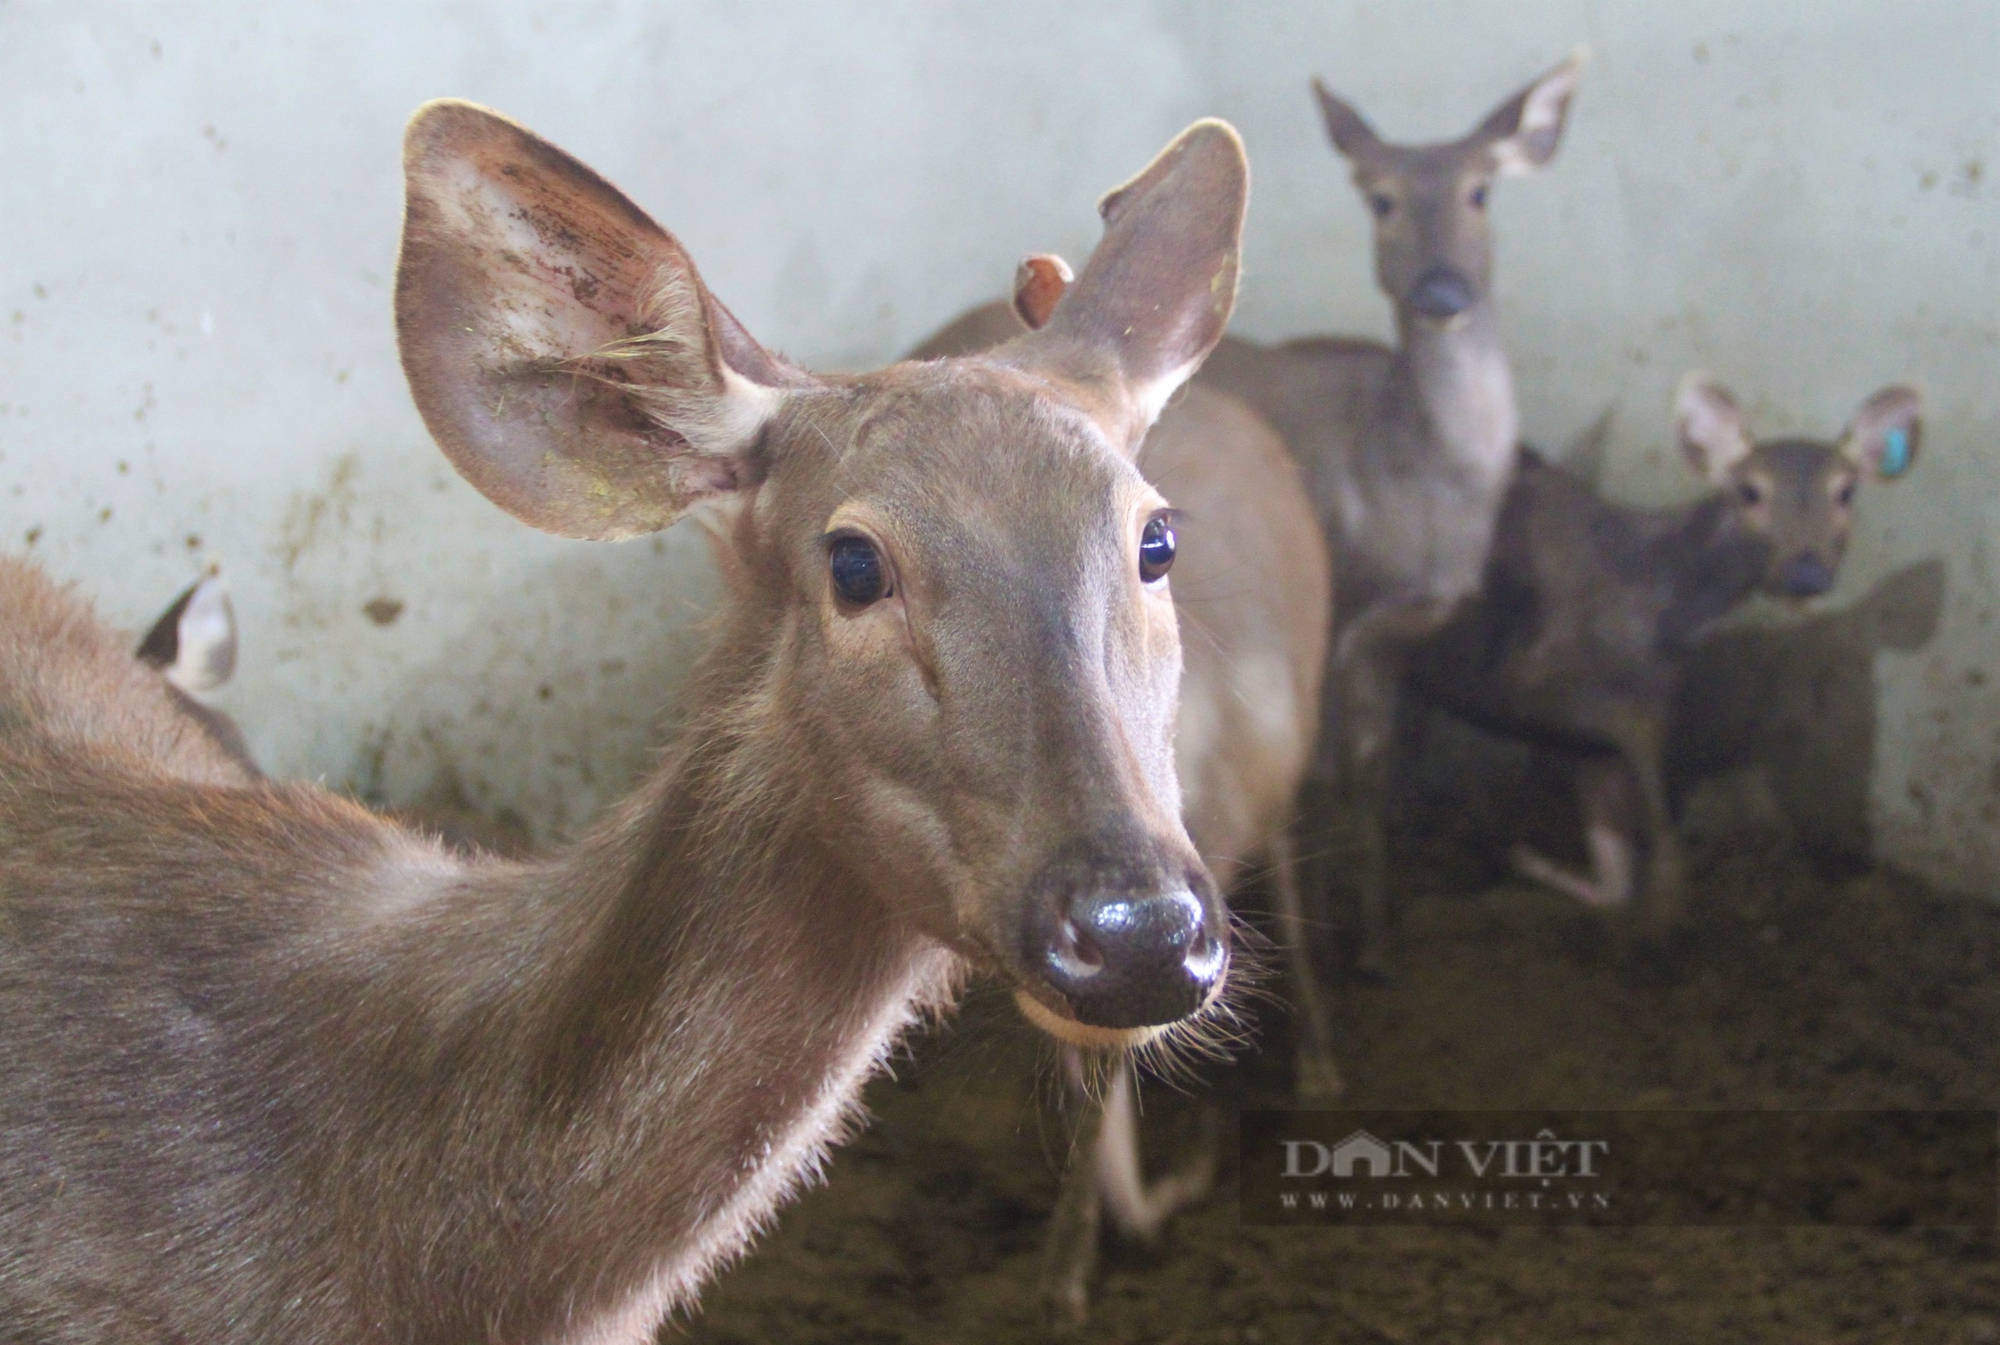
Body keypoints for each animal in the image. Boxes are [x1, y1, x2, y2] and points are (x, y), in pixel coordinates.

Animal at [1192, 52, 1584, 980]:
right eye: (1380, 198)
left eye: (1482, 189)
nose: (1442, 291)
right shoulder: (1332, 615)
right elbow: (1323, 780)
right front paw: (1327, 942)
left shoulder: (1401, 632)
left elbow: (1370, 773)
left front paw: (1373, 945)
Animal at [1408, 372, 1920, 940]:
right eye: (1749, 490)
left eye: (1846, 490)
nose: (1806, 573)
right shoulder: (1519, 676)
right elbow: (1639, 742)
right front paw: (1669, 901)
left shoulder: (1603, 724)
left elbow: (1615, 872)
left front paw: (1559, 869)